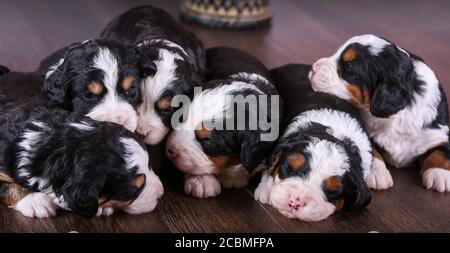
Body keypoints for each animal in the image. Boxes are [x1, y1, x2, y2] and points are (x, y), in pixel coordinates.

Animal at [256, 64, 384, 221]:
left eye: (332, 192)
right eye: (289, 167)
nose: (295, 201)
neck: (333, 132)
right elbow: (270, 164)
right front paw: (265, 188)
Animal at [310, 34, 450, 193]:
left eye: (349, 66)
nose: (313, 68)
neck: (395, 117)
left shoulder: (438, 132)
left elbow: (441, 150)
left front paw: (439, 173)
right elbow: (370, 150)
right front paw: (376, 174)